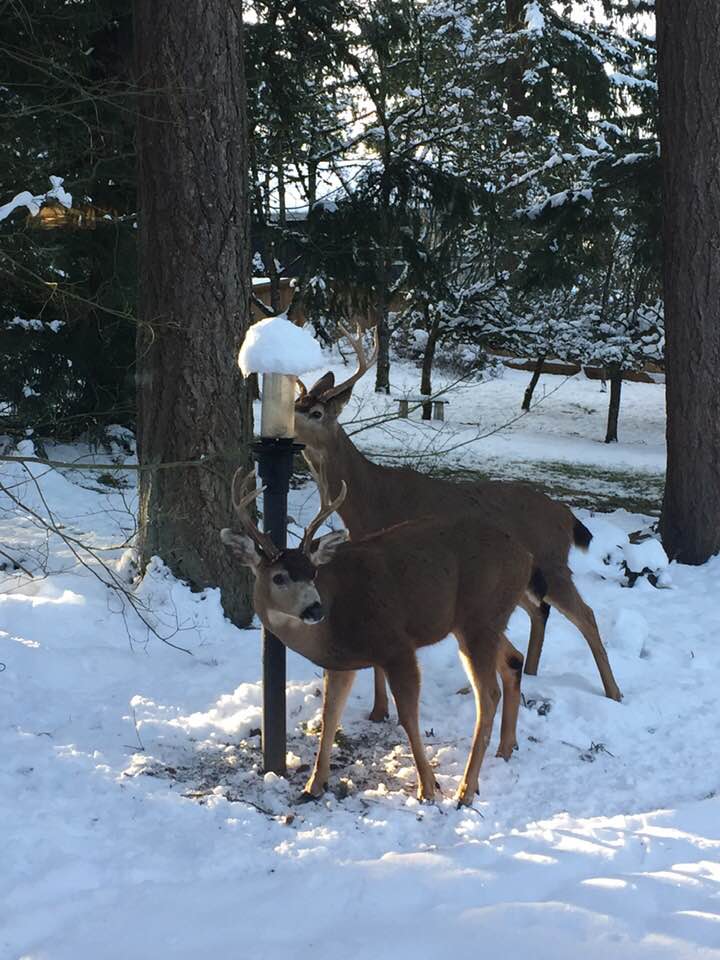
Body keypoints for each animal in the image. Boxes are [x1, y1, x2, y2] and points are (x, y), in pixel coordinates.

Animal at [220, 469, 546, 806]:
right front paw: (313, 785)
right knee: (513, 660)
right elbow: (329, 716)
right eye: (279, 577)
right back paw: (505, 749)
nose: (315, 608)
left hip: (479, 619)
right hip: (481, 621)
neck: (332, 624)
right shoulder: (341, 662)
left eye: (313, 573)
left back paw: (465, 790)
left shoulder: (396, 645)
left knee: (488, 695)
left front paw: (427, 787)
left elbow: (408, 716)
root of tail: (526, 557)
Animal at [294, 326, 622, 721]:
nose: (283, 430)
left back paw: (614, 692)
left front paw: (379, 711)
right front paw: (378, 709)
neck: (369, 500)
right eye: (295, 405)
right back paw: (528, 674)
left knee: (585, 615)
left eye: (315, 412)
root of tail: (565, 513)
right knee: (538, 611)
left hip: (552, 560)